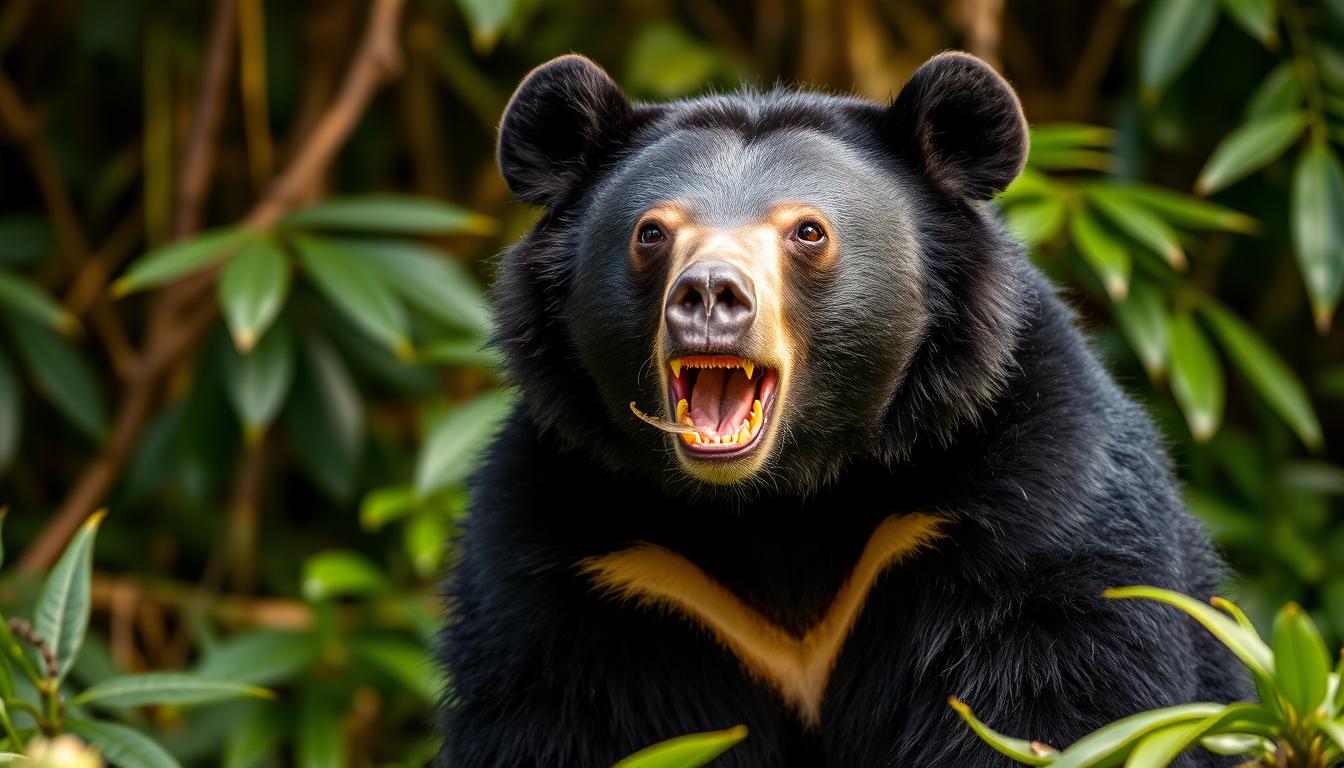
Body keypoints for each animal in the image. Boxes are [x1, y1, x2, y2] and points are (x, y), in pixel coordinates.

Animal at [435, 51, 1245, 767]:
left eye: (808, 231)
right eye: (651, 233)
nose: (710, 294)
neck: (779, 502)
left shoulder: (1028, 504)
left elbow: (1056, 701)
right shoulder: (589, 571)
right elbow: (561, 722)